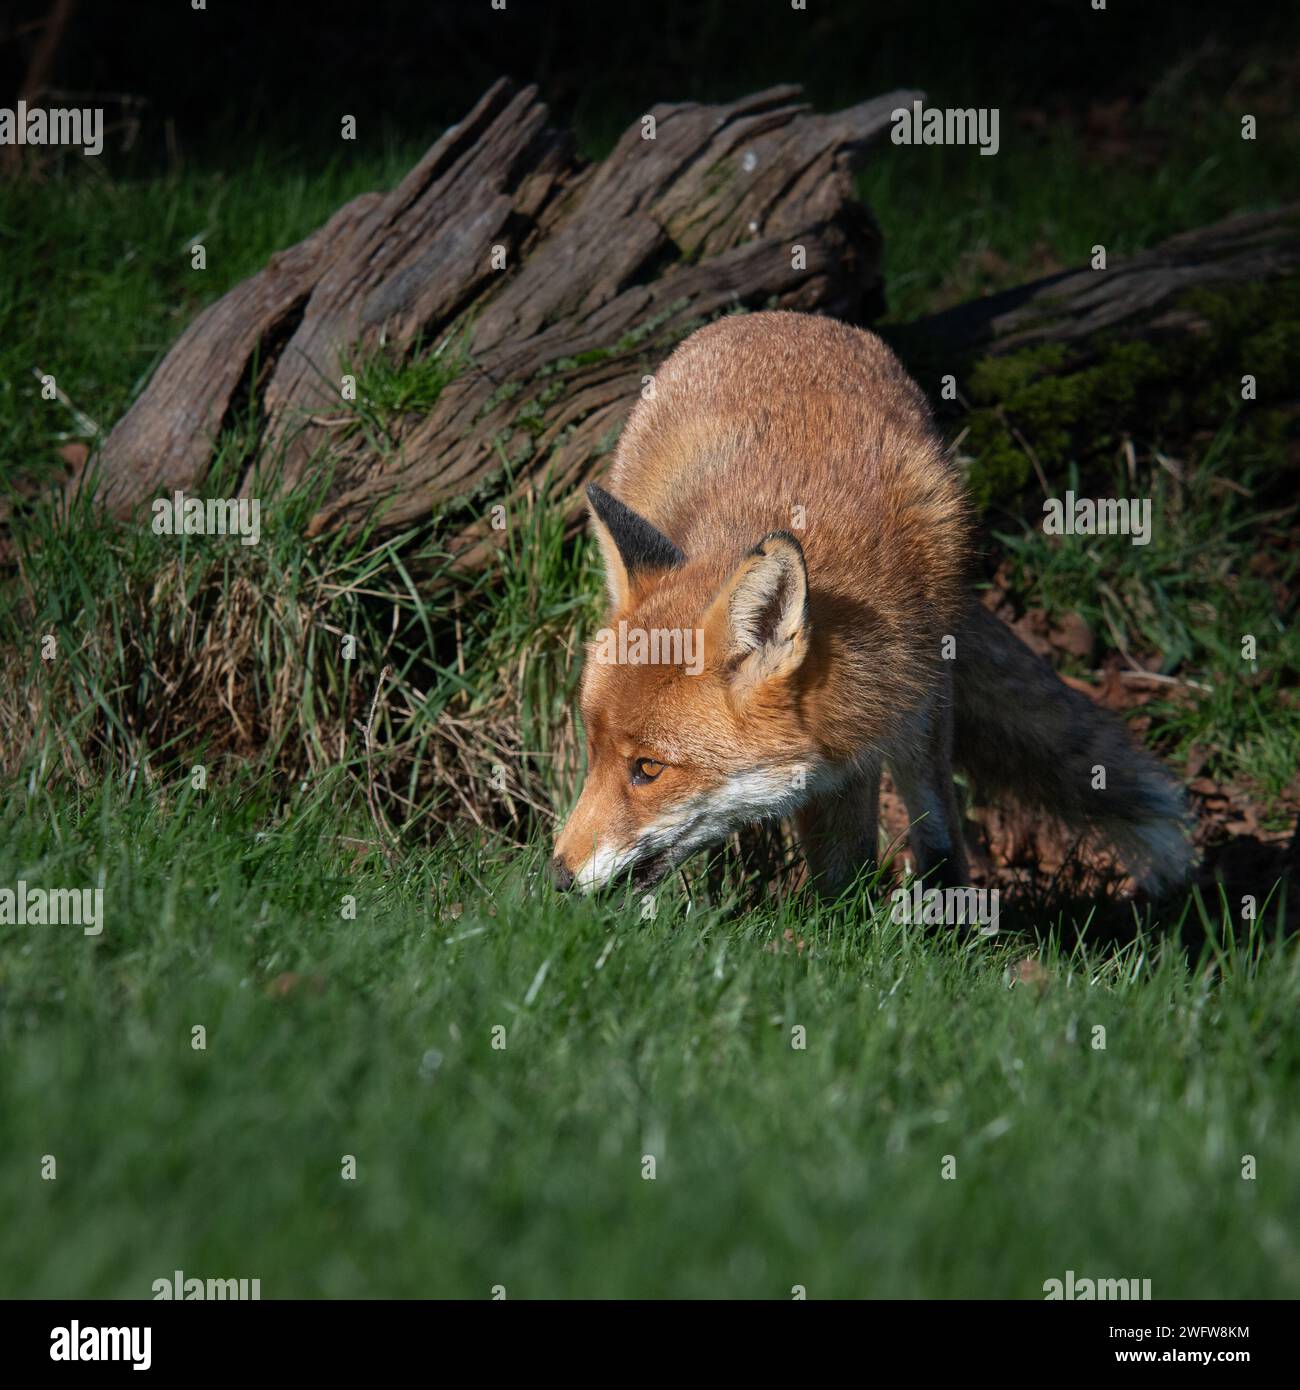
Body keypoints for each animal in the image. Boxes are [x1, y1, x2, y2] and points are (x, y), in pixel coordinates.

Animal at [551, 311, 1191, 899]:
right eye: (593, 750)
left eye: (649, 769)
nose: (554, 877)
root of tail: (774, 317)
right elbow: (839, 861)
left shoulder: (919, 695)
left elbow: (932, 823)